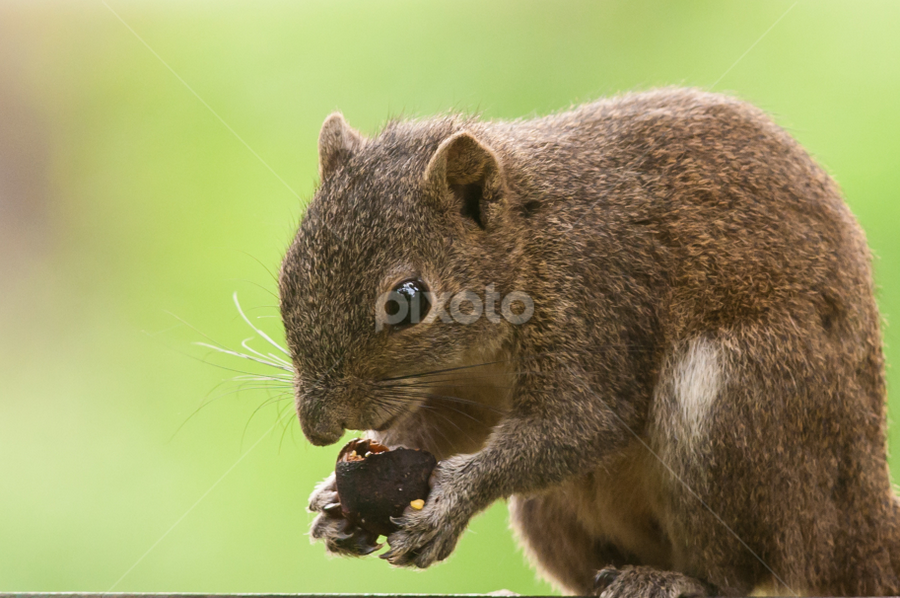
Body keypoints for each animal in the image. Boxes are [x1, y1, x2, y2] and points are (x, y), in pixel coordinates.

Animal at [277, 87, 900, 597]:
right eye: (288, 274)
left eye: (408, 298)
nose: (319, 428)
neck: (528, 243)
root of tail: (856, 519)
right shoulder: (463, 390)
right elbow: (447, 430)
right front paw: (335, 499)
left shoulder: (595, 301)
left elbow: (582, 423)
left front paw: (450, 503)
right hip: (549, 512)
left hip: (735, 410)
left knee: (736, 574)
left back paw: (674, 581)